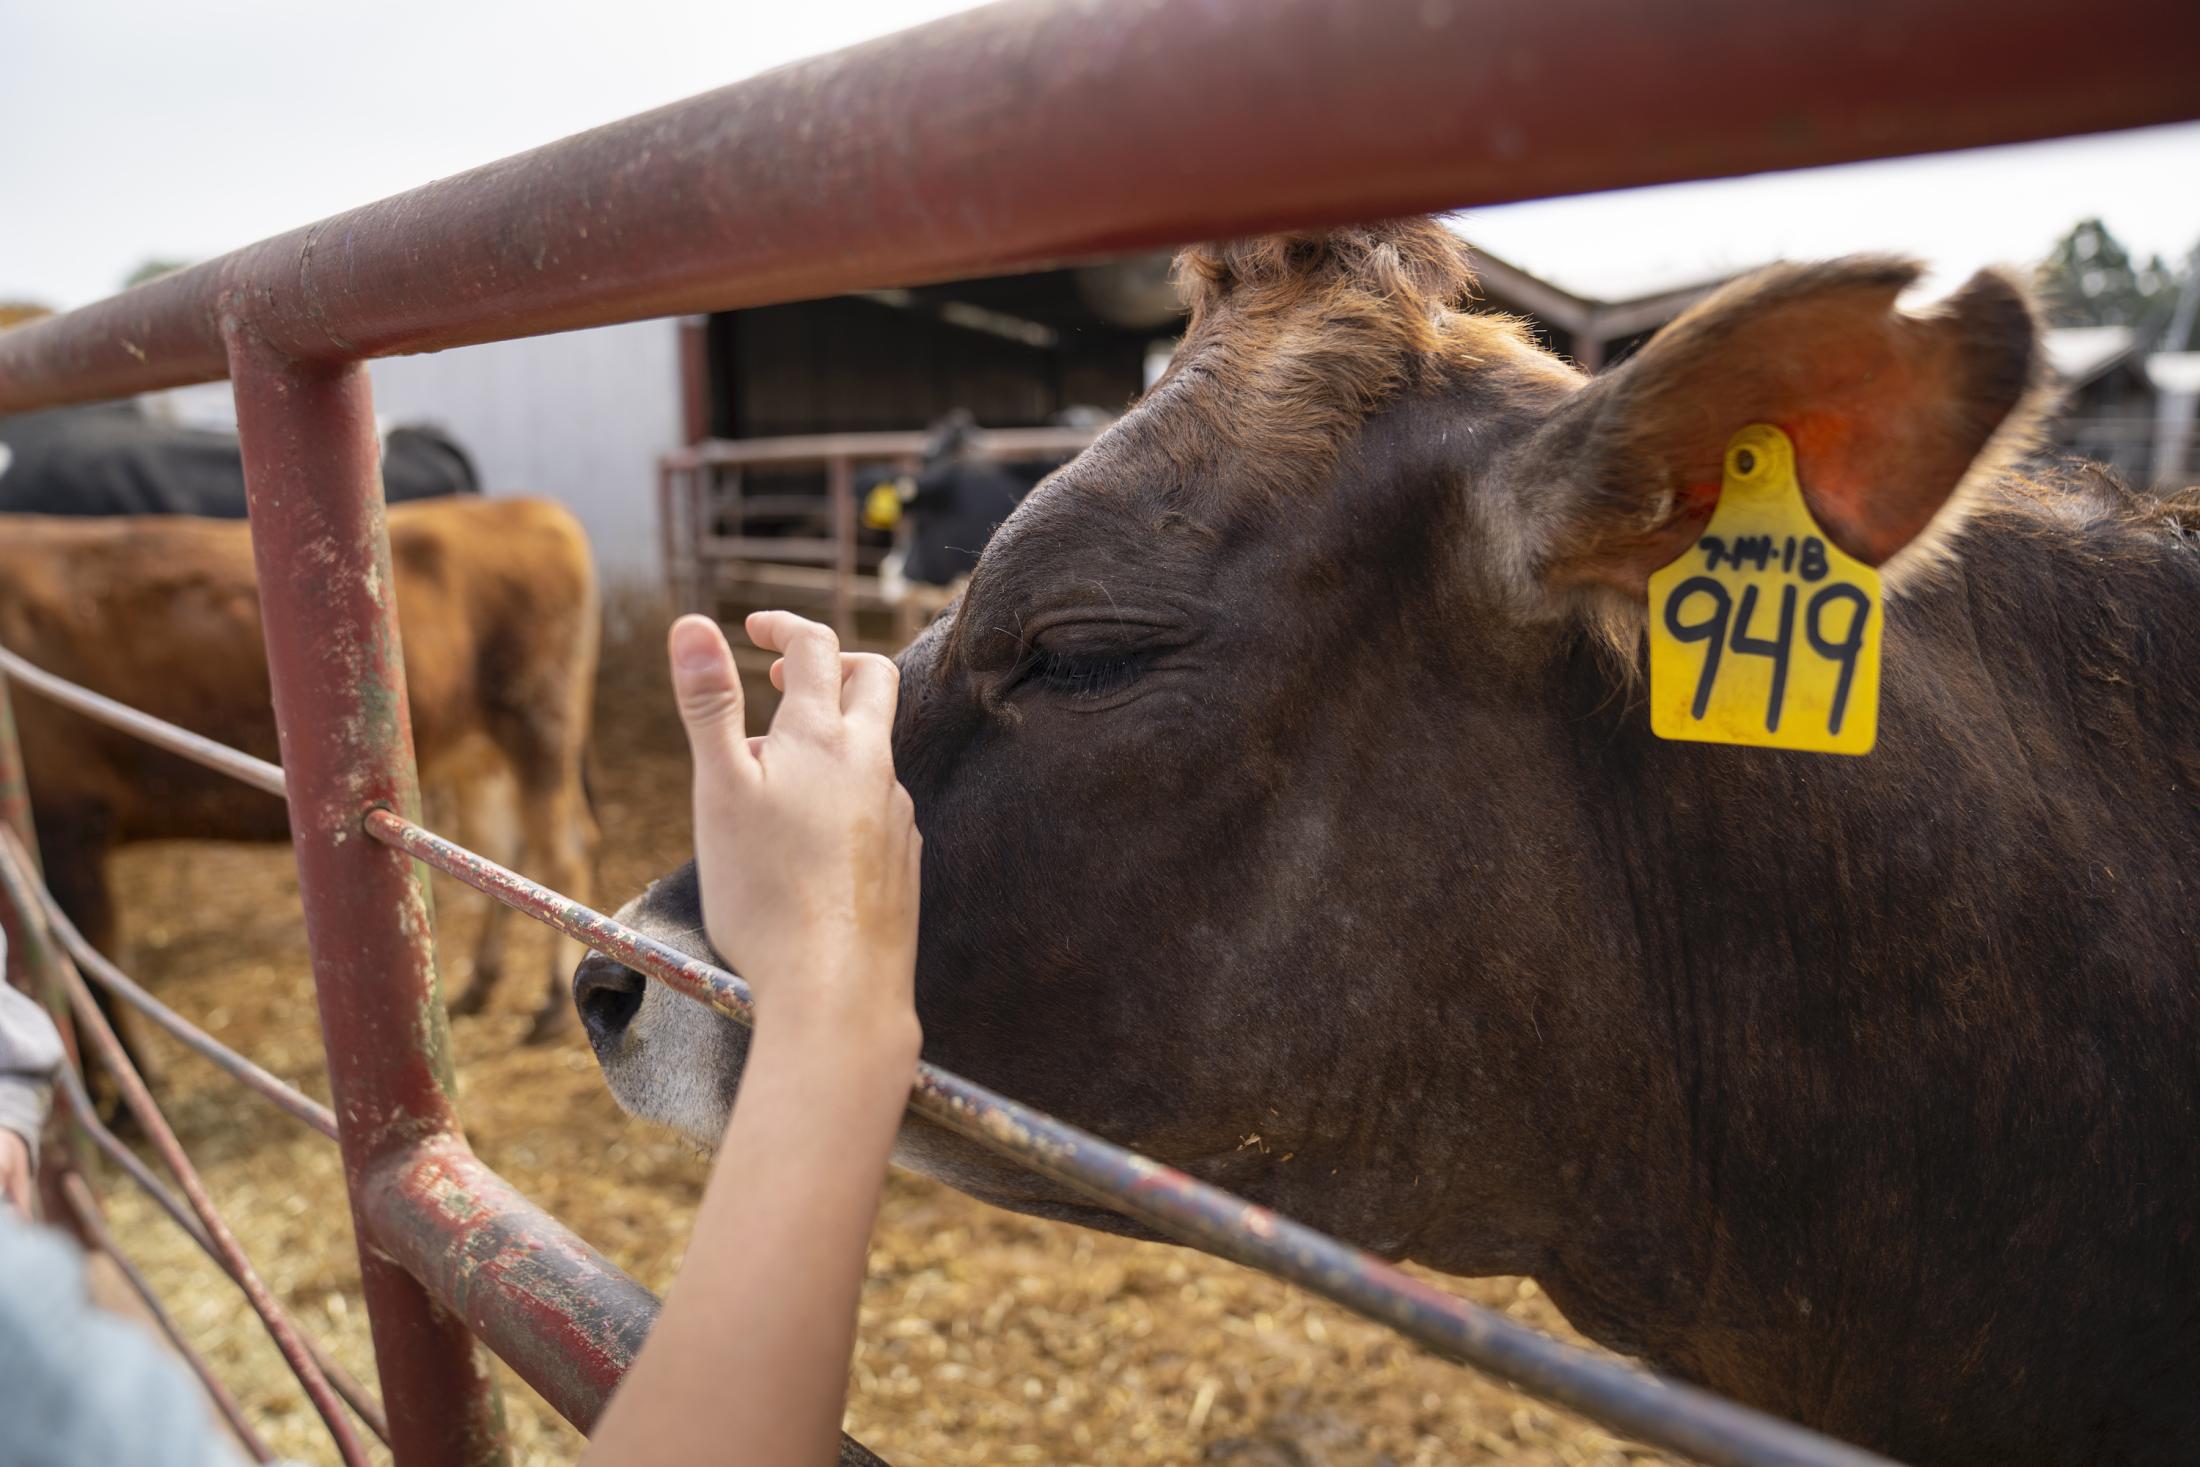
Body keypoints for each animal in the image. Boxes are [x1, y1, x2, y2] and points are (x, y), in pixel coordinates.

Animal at [4, 499, 598, 1038]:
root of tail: (529, 508)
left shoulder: (68, 832)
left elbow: (97, 980)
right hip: (480, 755)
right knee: (506, 852)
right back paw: (480, 982)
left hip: (537, 731)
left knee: (561, 859)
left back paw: (550, 1005)